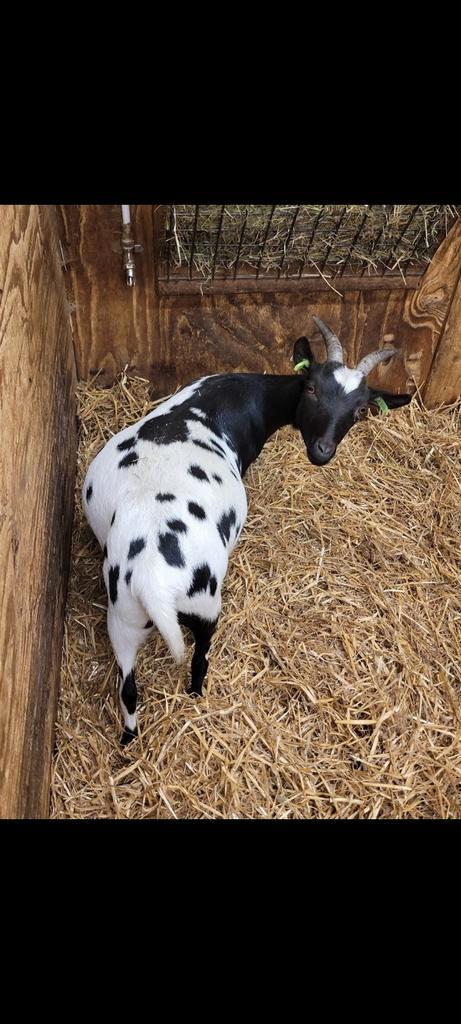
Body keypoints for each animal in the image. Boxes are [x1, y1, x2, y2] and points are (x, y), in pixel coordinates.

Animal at [83, 318, 411, 744]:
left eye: (359, 411)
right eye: (311, 388)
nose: (322, 451)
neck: (242, 393)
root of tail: (151, 581)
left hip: (121, 620)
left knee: (128, 690)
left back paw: (128, 740)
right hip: (205, 606)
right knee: (200, 658)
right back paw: (196, 693)